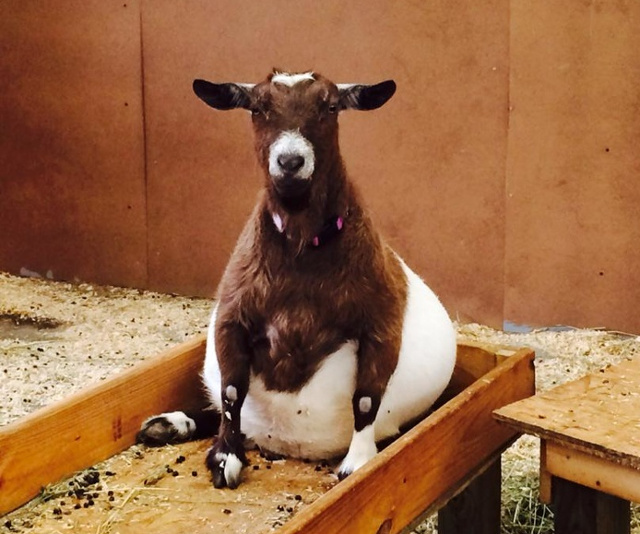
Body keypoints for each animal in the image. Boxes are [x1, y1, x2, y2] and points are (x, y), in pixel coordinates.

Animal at [137, 70, 457, 489]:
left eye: (331, 106)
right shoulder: (233, 315)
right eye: (258, 107)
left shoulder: (381, 322)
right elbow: (231, 392)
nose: (290, 160)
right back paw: (168, 424)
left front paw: (357, 464)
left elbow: (366, 399)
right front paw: (225, 458)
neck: (302, 249)